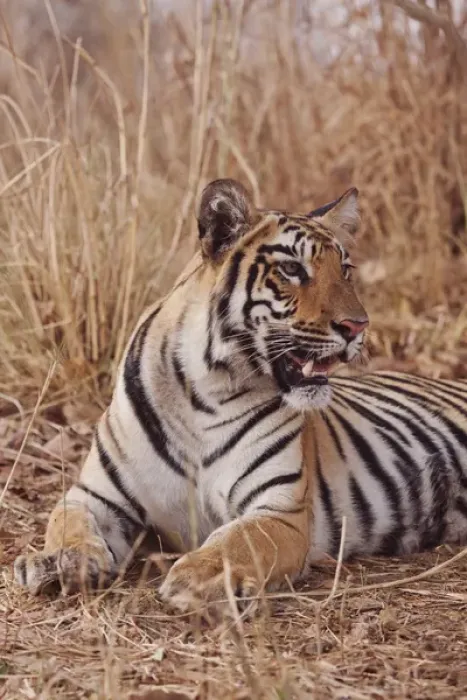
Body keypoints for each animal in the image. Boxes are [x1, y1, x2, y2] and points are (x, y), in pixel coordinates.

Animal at [14, 178, 467, 612]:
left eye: (346, 270)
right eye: (292, 269)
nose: (358, 326)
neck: (202, 393)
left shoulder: (279, 508)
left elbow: (238, 540)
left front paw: (197, 577)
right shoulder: (97, 495)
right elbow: (65, 522)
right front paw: (56, 561)